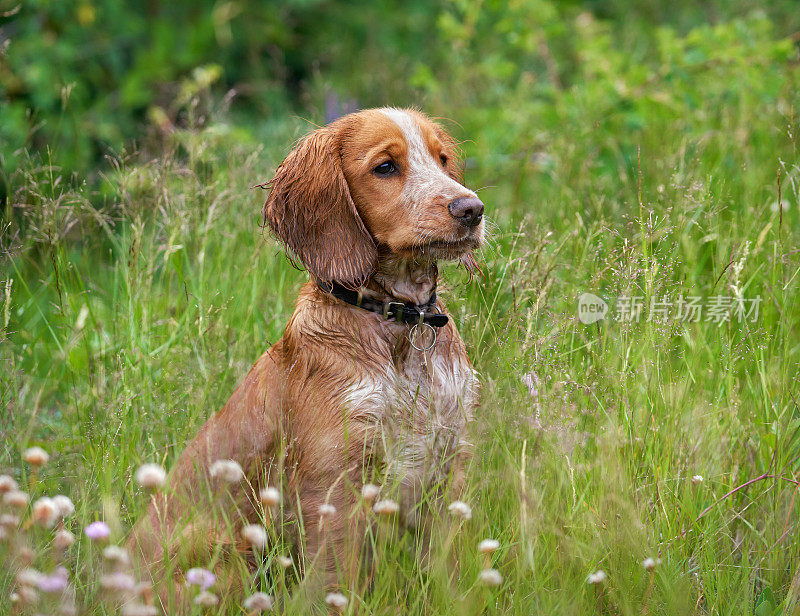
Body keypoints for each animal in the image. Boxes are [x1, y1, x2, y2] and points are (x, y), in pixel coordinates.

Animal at [129, 108, 484, 600]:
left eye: (442, 159)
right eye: (385, 167)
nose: (472, 209)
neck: (400, 329)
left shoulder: (451, 461)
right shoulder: (335, 487)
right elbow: (336, 584)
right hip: (229, 552)